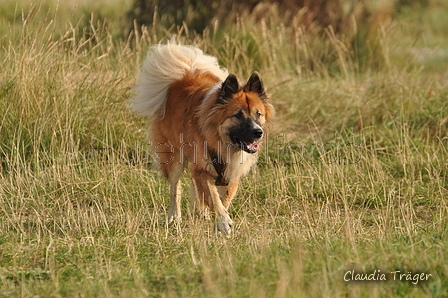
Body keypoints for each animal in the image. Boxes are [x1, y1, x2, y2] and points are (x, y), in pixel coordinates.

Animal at [130, 40, 272, 235]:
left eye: (258, 114)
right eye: (237, 115)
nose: (258, 132)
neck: (221, 142)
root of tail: (182, 77)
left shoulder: (231, 174)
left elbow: (222, 199)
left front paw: (217, 221)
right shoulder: (202, 170)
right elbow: (213, 198)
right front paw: (223, 222)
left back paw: (201, 213)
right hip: (174, 156)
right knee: (175, 187)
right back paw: (174, 217)